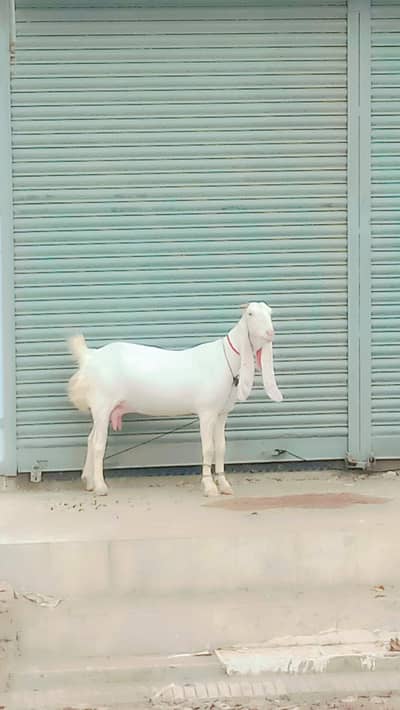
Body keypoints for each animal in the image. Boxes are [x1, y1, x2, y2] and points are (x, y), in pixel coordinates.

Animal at [68, 302, 283, 497]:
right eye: (250, 314)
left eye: (270, 312)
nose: (270, 332)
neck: (226, 359)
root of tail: (91, 357)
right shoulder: (207, 412)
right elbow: (208, 449)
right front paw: (209, 487)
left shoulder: (221, 413)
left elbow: (221, 448)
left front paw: (224, 485)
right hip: (102, 405)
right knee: (98, 444)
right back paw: (100, 487)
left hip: (102, 408)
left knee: (91, 439)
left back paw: (89, 482)